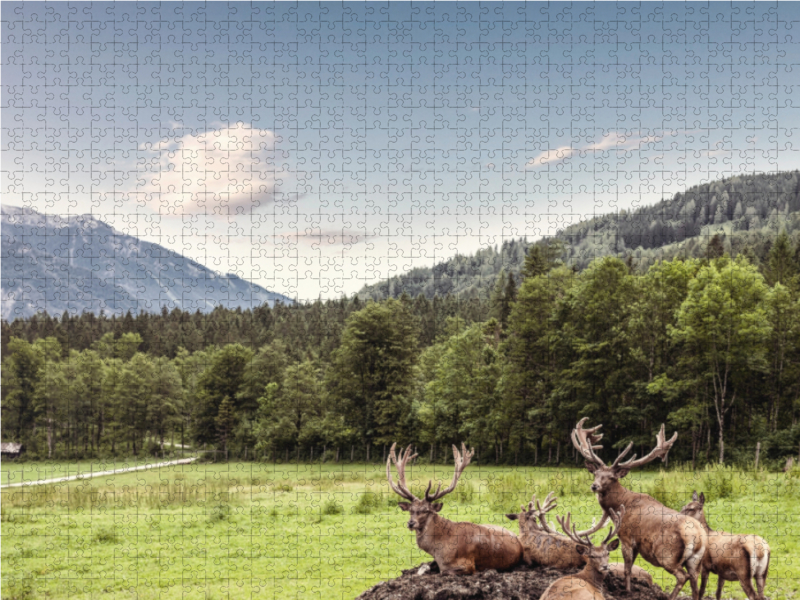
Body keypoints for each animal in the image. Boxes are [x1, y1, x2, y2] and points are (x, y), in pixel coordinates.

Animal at [388, 442, 524, 576]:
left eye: (426, 510)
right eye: (410, 510)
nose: (411, 523)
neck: (438, 549)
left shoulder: (467, 564)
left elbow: (443, 572)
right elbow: (422, 567)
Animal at [568, 418, 708, 600]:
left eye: (611, 477)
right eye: (596, 474)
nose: (594, 486)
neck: (622, 504)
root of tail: (697, 533)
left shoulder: (627, 538)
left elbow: (627, 569)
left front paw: (627, 591)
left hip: (666, 553)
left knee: (682, 576)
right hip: (695, 560)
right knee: (694, 582)